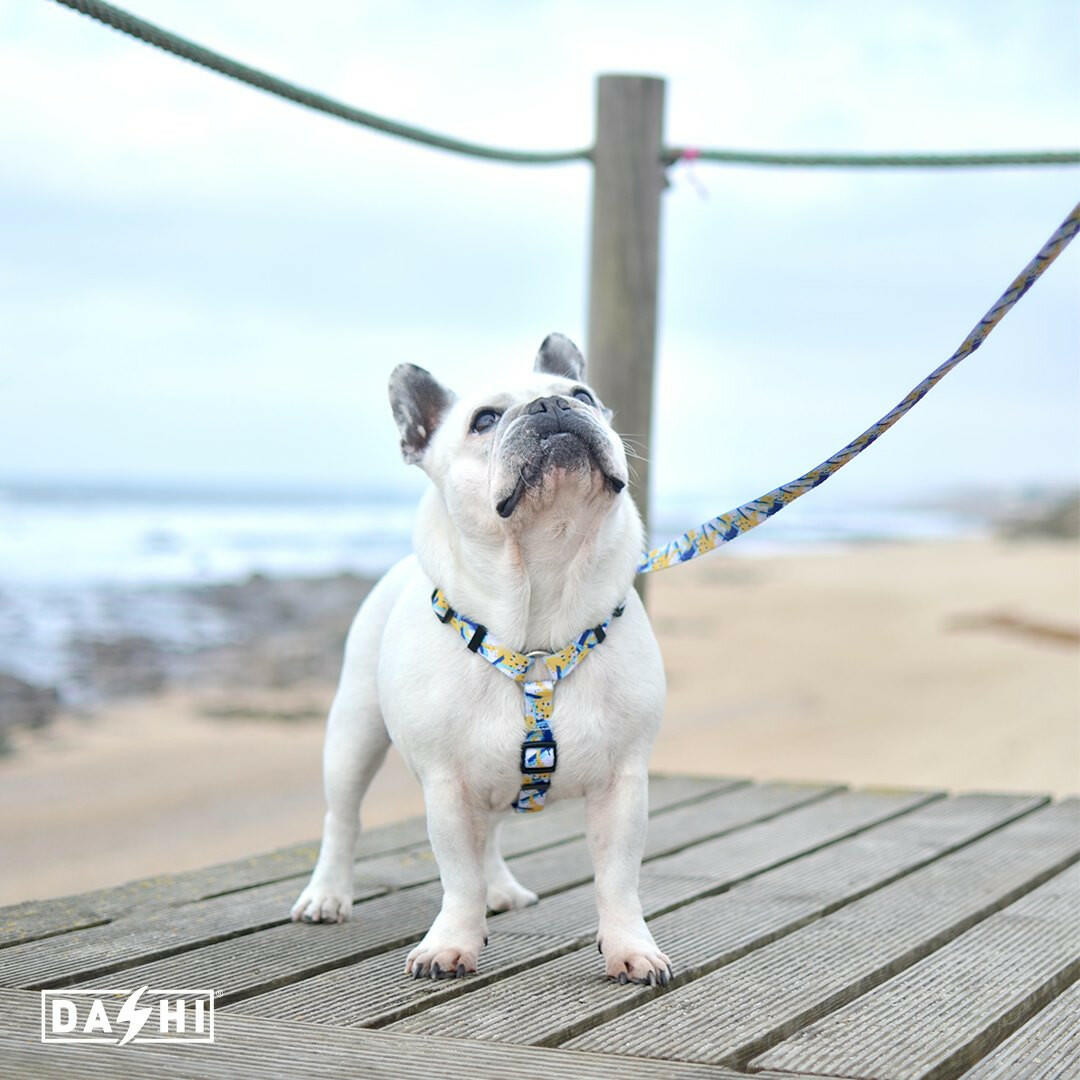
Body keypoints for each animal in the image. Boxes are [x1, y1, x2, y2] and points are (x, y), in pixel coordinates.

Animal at [291, 333, 670, 984]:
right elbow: (457, 874)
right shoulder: (447, 785)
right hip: (353, 732)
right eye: (485, 420)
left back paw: (502, 889)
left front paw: (630, 947)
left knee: (489, 833)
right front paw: (452, 943)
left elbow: (618, 879)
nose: (550, 406)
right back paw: (327, 895)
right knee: (343, 818)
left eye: (583, 396)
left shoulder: (623, 784)